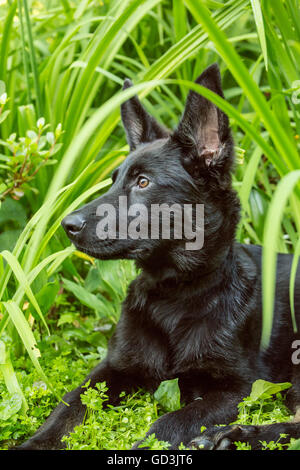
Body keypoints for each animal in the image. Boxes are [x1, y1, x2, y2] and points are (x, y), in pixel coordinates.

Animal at [17, 64, 298, 450]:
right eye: (114, 180)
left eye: (143, 183)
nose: (66, 225)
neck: (174, 296)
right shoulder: (111, 369)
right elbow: (67, 408)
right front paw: (34, 442)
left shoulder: (238, 387)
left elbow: (170, 421)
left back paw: (231, 436)